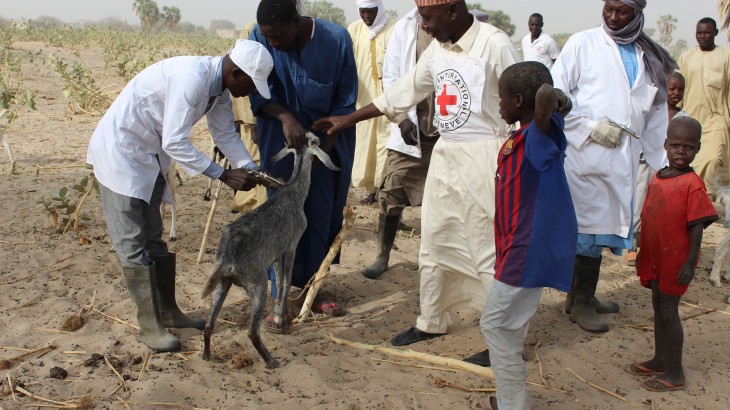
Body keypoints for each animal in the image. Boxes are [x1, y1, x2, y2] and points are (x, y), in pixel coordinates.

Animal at [199, 133, 336, 370]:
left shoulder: (274, 254)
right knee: (252, 332)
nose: (320, 137)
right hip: (257, 284)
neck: (293, 191)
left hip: (223, 282)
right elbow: (287, 281)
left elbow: (279, 281)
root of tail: (228, 258)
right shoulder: (292, 244)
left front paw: (280, 315)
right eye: (314, 142)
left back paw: (207, 355)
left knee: (209, 324)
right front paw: (281, 320)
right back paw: (272, 361)